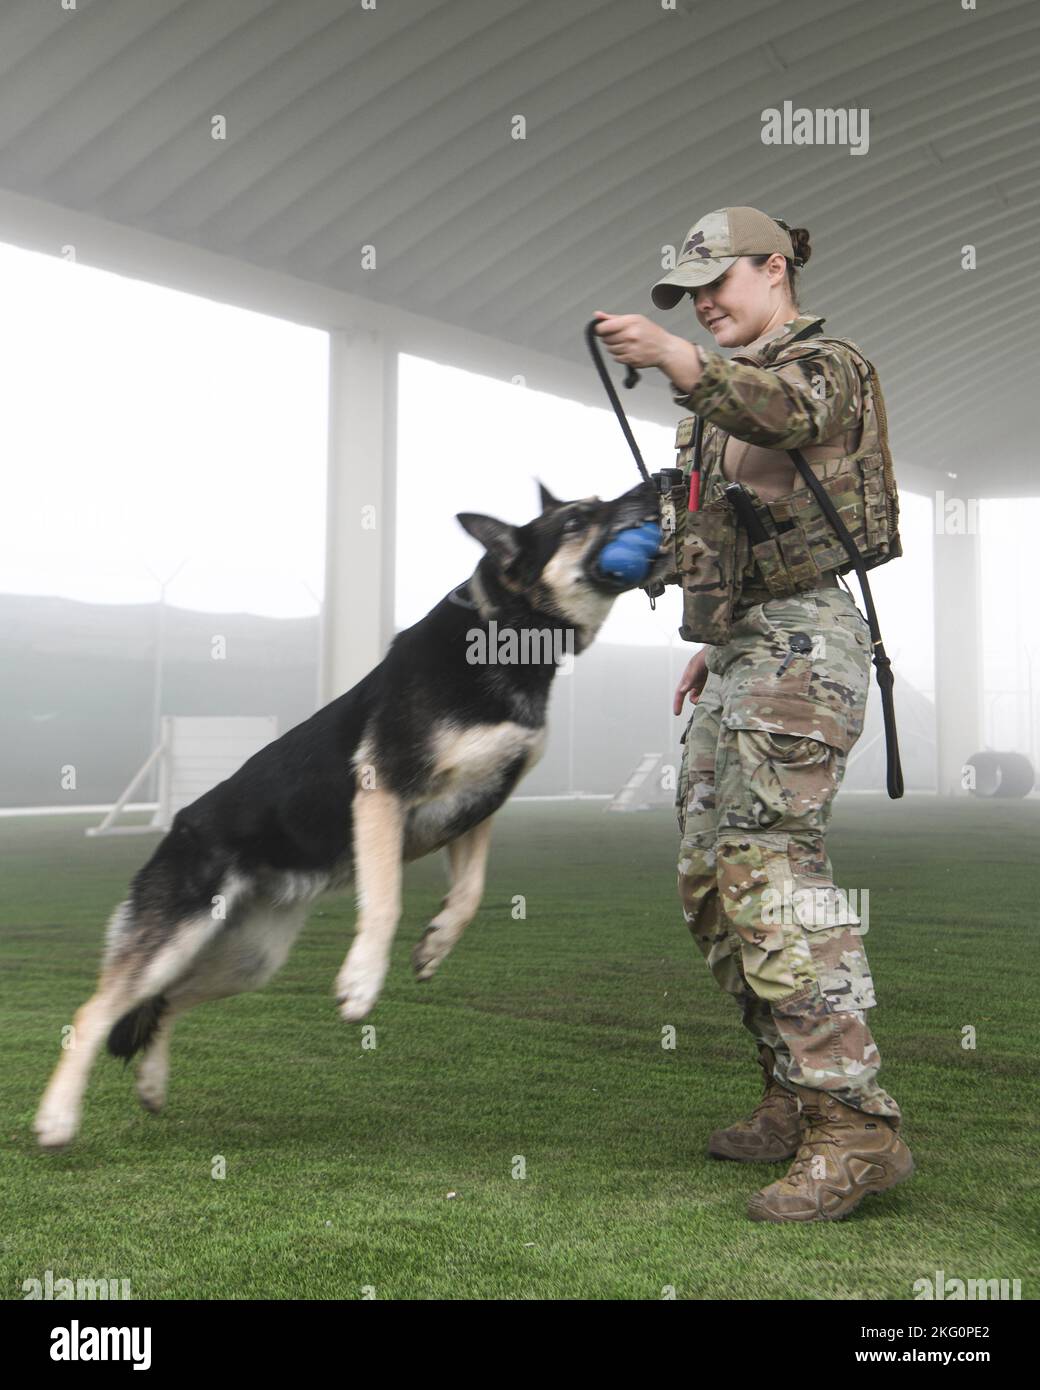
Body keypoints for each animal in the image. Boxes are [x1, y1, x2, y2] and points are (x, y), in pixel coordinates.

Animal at [34, 478, 667, 1150]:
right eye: (578, 520)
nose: (655, 484)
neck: (505, 633)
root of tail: (177, 831)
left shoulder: (478, 809)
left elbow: (470, 896)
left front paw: (435, 945)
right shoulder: (383, 792)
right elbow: (385, 901)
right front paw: (362, 982)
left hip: (248, 960)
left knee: (165, 1003)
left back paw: (151, 1083)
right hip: (175, 937)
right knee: (96, 1011)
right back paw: (57, 1118)